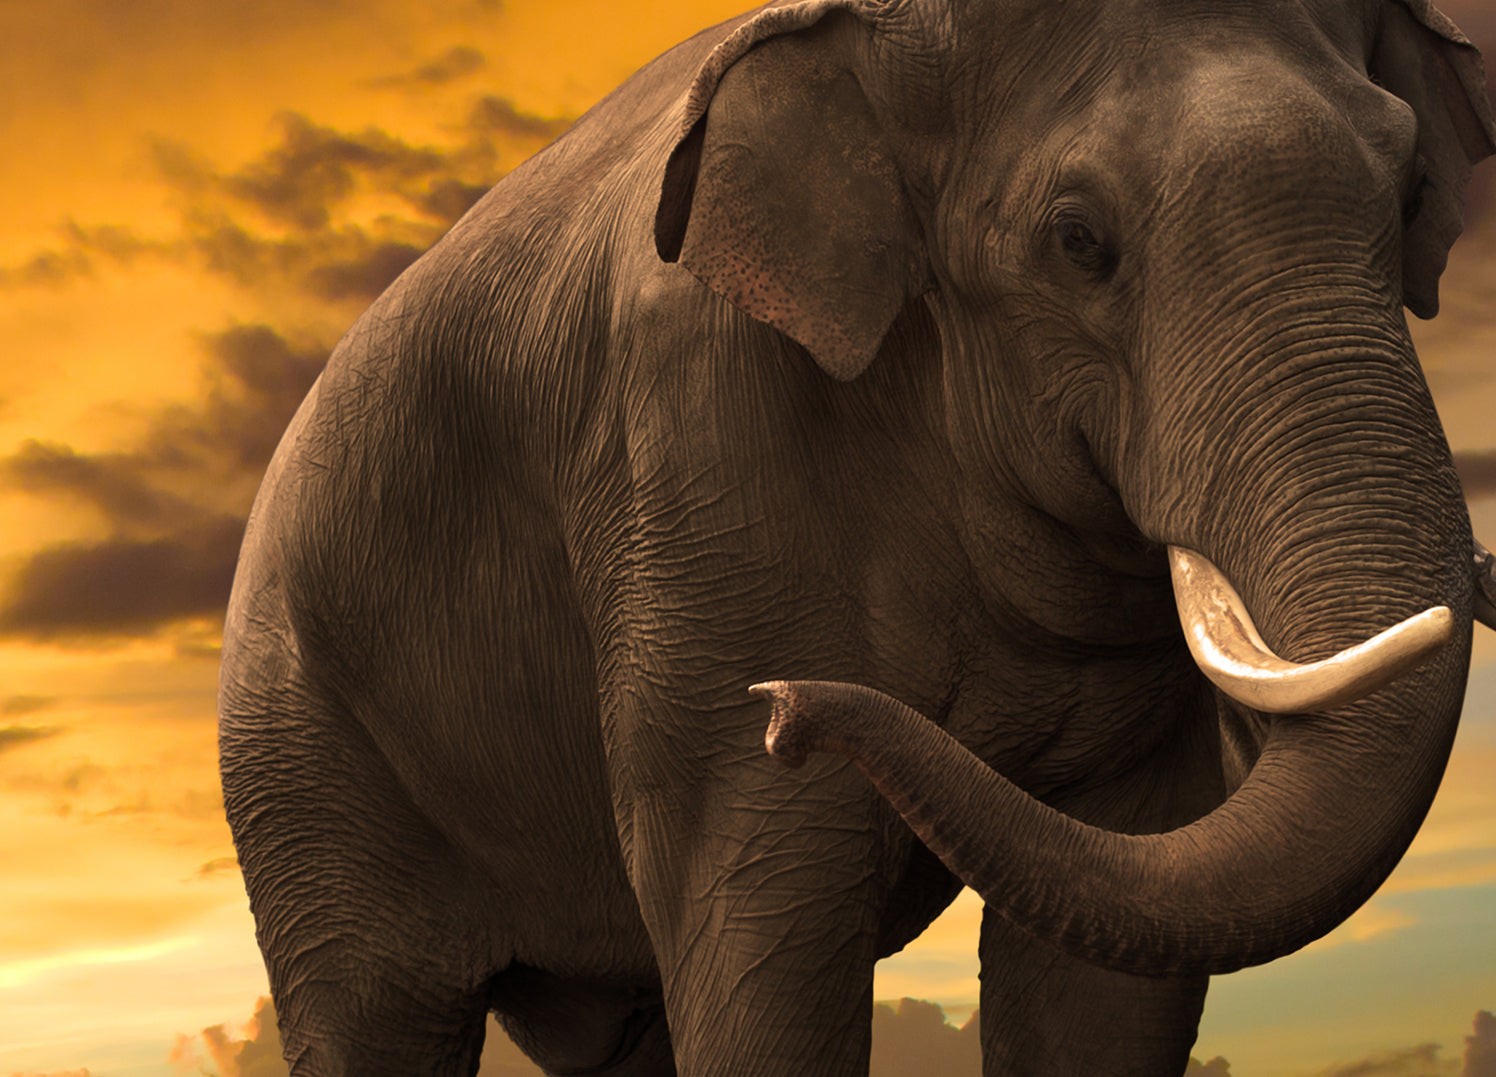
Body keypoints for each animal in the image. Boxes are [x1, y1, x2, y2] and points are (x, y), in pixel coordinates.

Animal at [216, 0, 1496, 1073]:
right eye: (1077, 240)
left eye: (1407, 194)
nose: (784, 707)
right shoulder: (693, 465)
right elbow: (764, 920)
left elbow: (1106, 961)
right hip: (301, 759)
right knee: (376, 1013)